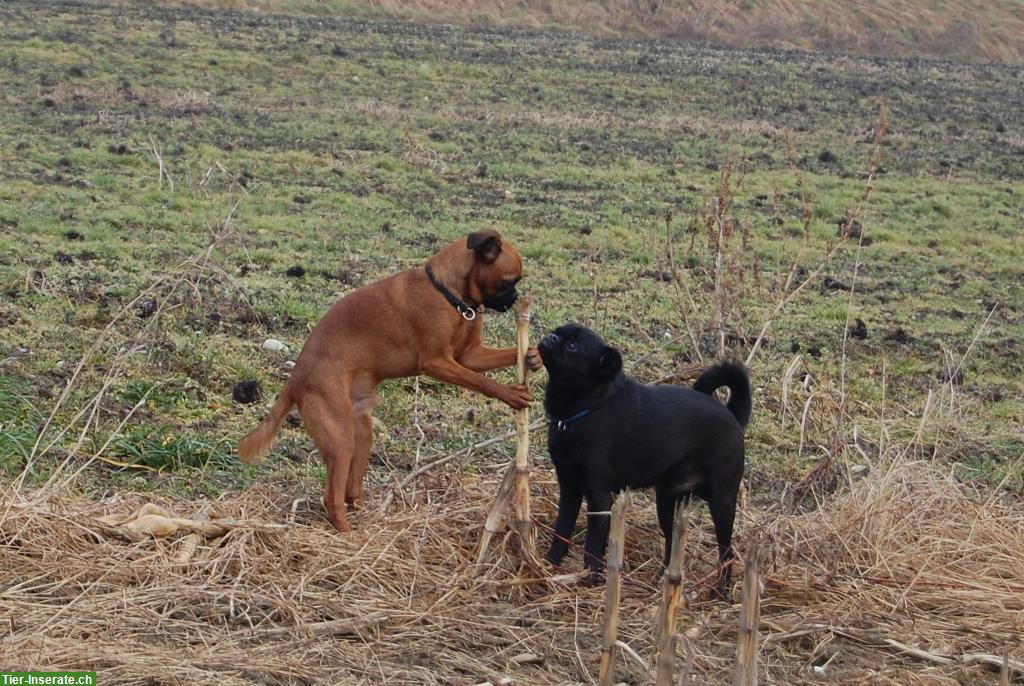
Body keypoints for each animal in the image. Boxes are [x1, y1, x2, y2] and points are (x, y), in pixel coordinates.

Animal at [237, 229, 536, 532]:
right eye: (509, 281)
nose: (515, 298)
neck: (449, 293)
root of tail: (296, 378)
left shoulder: (470, 355)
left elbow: (507, 354)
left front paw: (533, 355)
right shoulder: (437, 362)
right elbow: (481, 381)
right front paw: (511, 393)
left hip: (361, 433)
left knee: (350, 490)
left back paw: (367, 515)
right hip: (340, 439)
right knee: (332, 498)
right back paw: (349, 535)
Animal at [540, 325, 749, 597]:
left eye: (572, 345)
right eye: (558, 333)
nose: (551, 337)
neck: (583, 409)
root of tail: (732, 415)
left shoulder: (599, 497)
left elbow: (592, 546)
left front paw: (590, 579)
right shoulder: (570, 490)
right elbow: (561, 530)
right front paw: (549, 564)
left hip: (722, 503)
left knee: (726, 550)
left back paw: (720, 590)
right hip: (667, 502)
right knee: (672, 541)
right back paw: (664, 579)